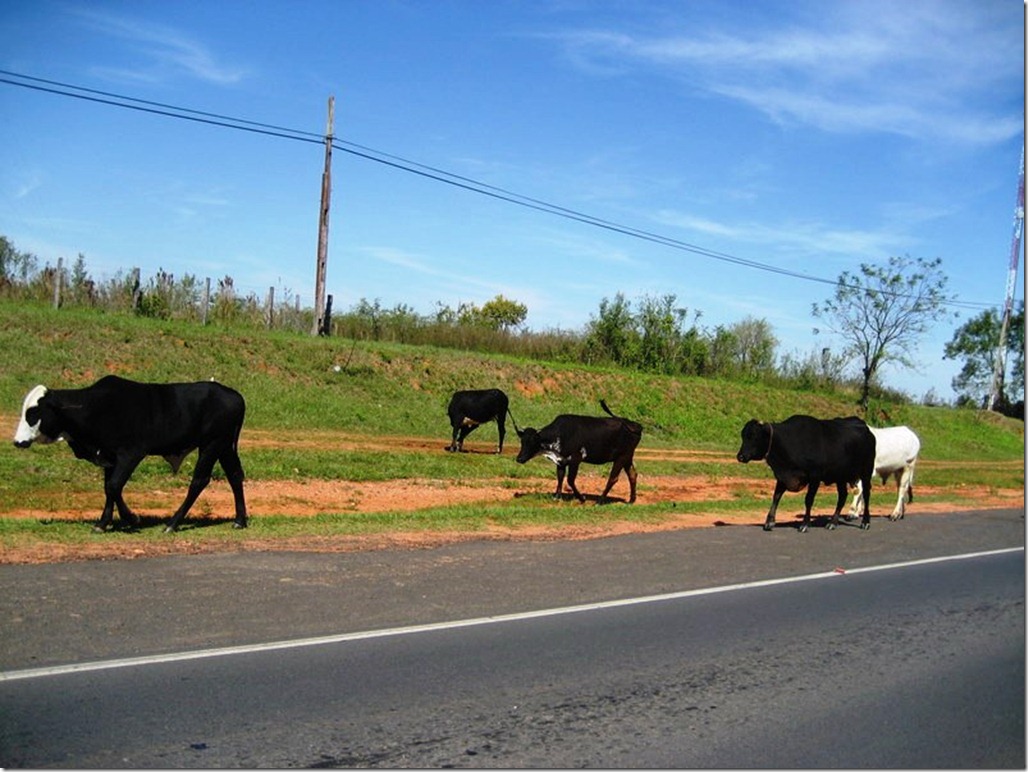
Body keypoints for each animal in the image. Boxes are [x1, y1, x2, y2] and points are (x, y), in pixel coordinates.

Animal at [13, 376, 248, 534]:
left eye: (33, 413)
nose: (18, 442)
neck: (94, 407)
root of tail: (235, 396)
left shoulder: (131, 454)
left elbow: (114, 486)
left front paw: (131, 518)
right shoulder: (109, 456)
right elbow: (109, 489)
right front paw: (105, 522)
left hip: (211, 445)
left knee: (199, 480)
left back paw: (172, 523)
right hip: (224, 446)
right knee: (235, 476)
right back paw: (240, 520)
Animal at [740, 413, 875, 534]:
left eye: (754, 436)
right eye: (743, 436)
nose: (740, 456)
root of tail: (864, 426)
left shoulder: (815, 477)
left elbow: (808, 499)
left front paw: (805, 524)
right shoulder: (783, 477)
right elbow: (776, 497)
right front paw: (769, 522)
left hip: (866, 472)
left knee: (866, 494)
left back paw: (865, 522)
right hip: (840, 477)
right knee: (842, 496)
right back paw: (832, 522)